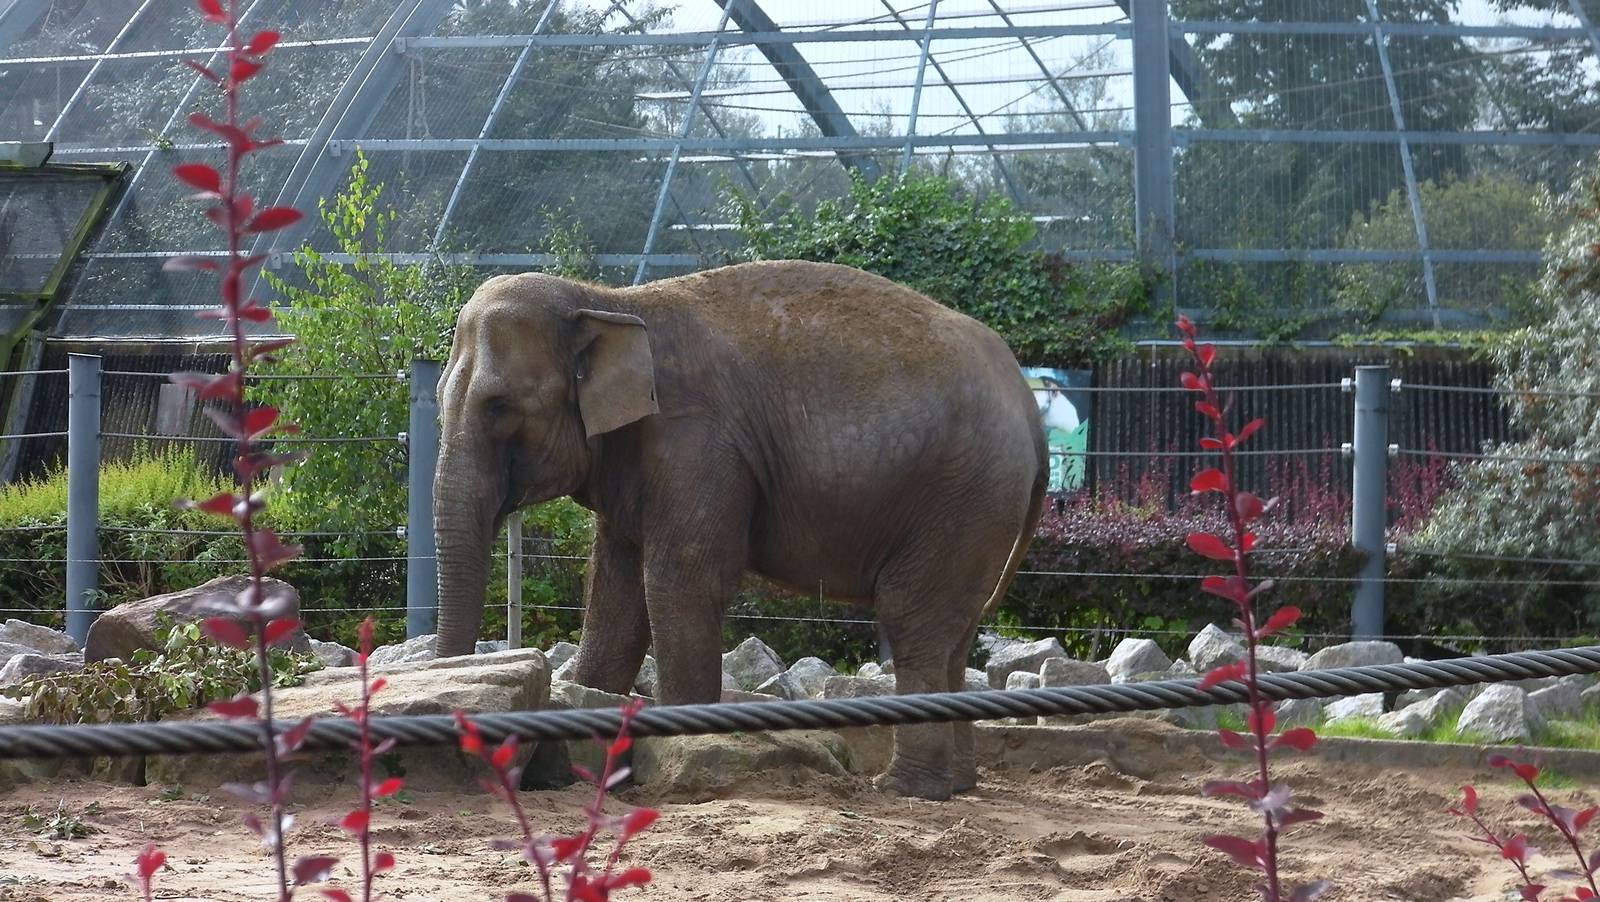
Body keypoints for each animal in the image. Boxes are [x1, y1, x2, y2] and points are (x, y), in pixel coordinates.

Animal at [432, 259, 1047, 800]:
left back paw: (904, 790)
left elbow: (679, 583)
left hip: (962, 494)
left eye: (499, 405)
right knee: (953, 630)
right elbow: (616, 597)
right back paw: (956, 786)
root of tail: (1028, 400)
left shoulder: (696, 442)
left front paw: (679, 760)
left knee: (911, 620)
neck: (609, 300)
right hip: (977, 511)